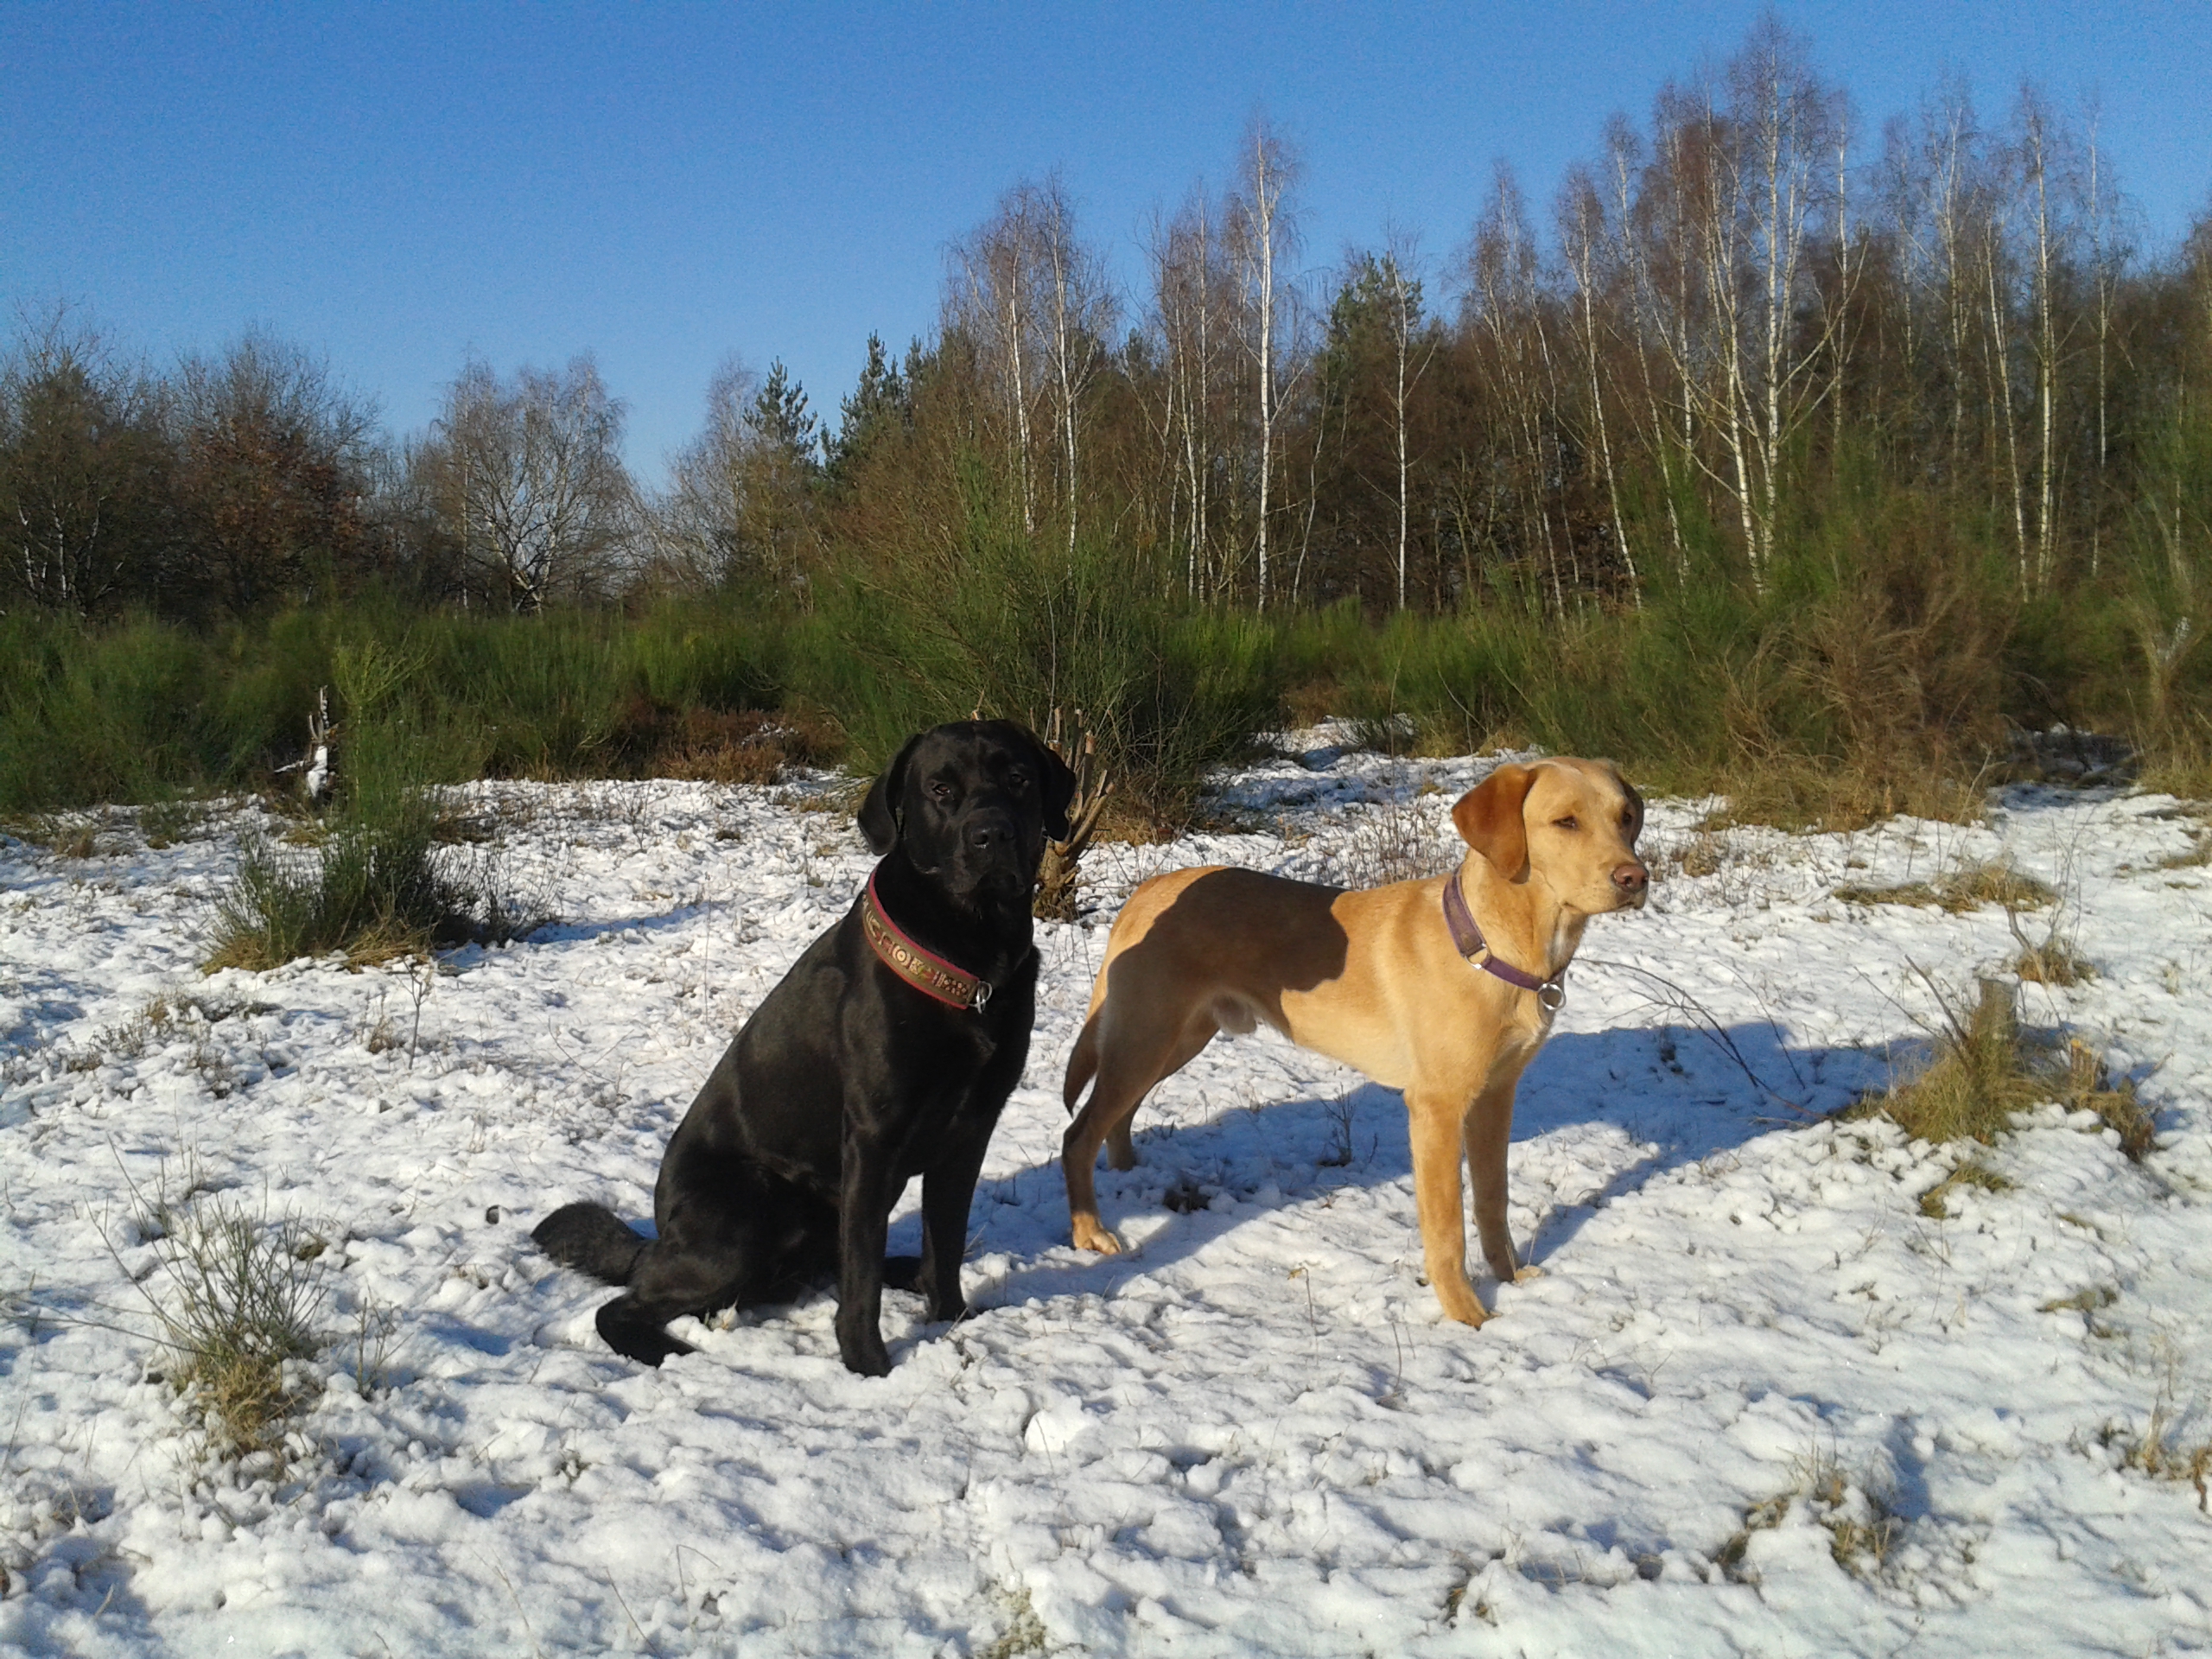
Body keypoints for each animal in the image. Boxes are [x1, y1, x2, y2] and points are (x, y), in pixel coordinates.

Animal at [543, 716, 1079, 1380]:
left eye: (1019, 779)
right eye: (941, 789)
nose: (992, 835)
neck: (972, 956)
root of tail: (658, 1237)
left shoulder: (971, 1130)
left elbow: (946, 1241)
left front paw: (951, 1316)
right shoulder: (874, 1135)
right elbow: (861, 1281)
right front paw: (869, 1366)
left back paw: (906, 1271)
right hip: (751, 1212)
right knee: (623, 1306)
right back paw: (675, 1354)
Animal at [1061, 765, 1654, 1327]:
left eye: (1625, 817)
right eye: (1565, 822)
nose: (1635, 877)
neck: (1497, 946)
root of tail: (1147, 890)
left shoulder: (1495, 1095)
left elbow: (1493, 1199)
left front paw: (1508, 1278)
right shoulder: (1437, 1107)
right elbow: (1447, 1227)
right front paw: (1466, 1313)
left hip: (1172, 1041)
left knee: (1116, 1116)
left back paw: (1129, 1173)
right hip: (1147, 1038)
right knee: (1078, 1132)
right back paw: (1091, 1232)